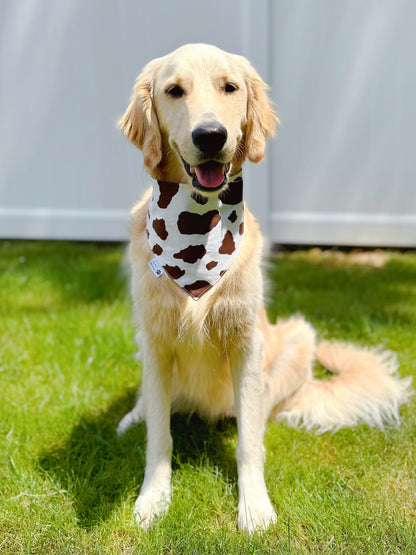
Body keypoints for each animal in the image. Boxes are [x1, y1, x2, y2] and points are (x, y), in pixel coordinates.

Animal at [118, 44, 412, 536]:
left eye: (229, 87)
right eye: (174, 90)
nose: (211, 135)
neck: (197, 230)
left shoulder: (246, 342)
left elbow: (248, 444)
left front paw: (254, 506)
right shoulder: (156, 339)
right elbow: (159, 436)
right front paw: (153, 499)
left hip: (299, 338)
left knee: (263, 412)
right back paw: (133, 414)